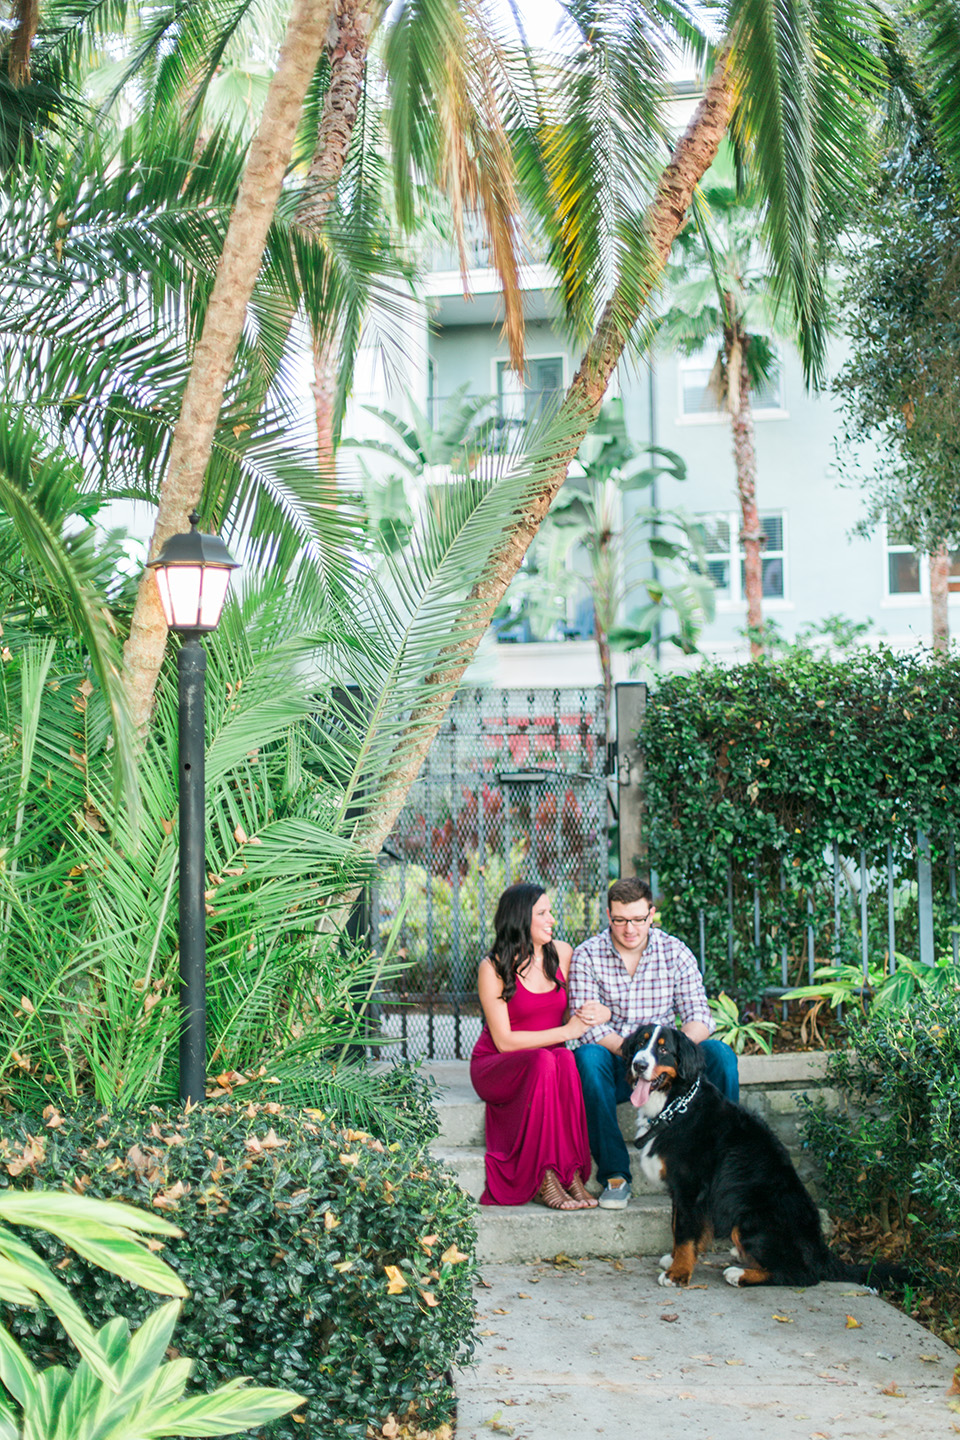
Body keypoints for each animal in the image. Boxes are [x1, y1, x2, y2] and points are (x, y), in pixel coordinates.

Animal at [618, 1025, 915, 1296]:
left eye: (663, 1050)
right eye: (640, 1044)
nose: (638, 1064)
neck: (675, 1107)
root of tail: (820, 1249)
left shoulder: (690, 1188)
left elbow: (684, 1232)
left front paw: (678, 1273)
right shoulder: (680, 1191)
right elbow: (680, 1227)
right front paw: (676, 1259)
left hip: (750, 1218)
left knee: (802, 1275)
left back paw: (739, 1274)